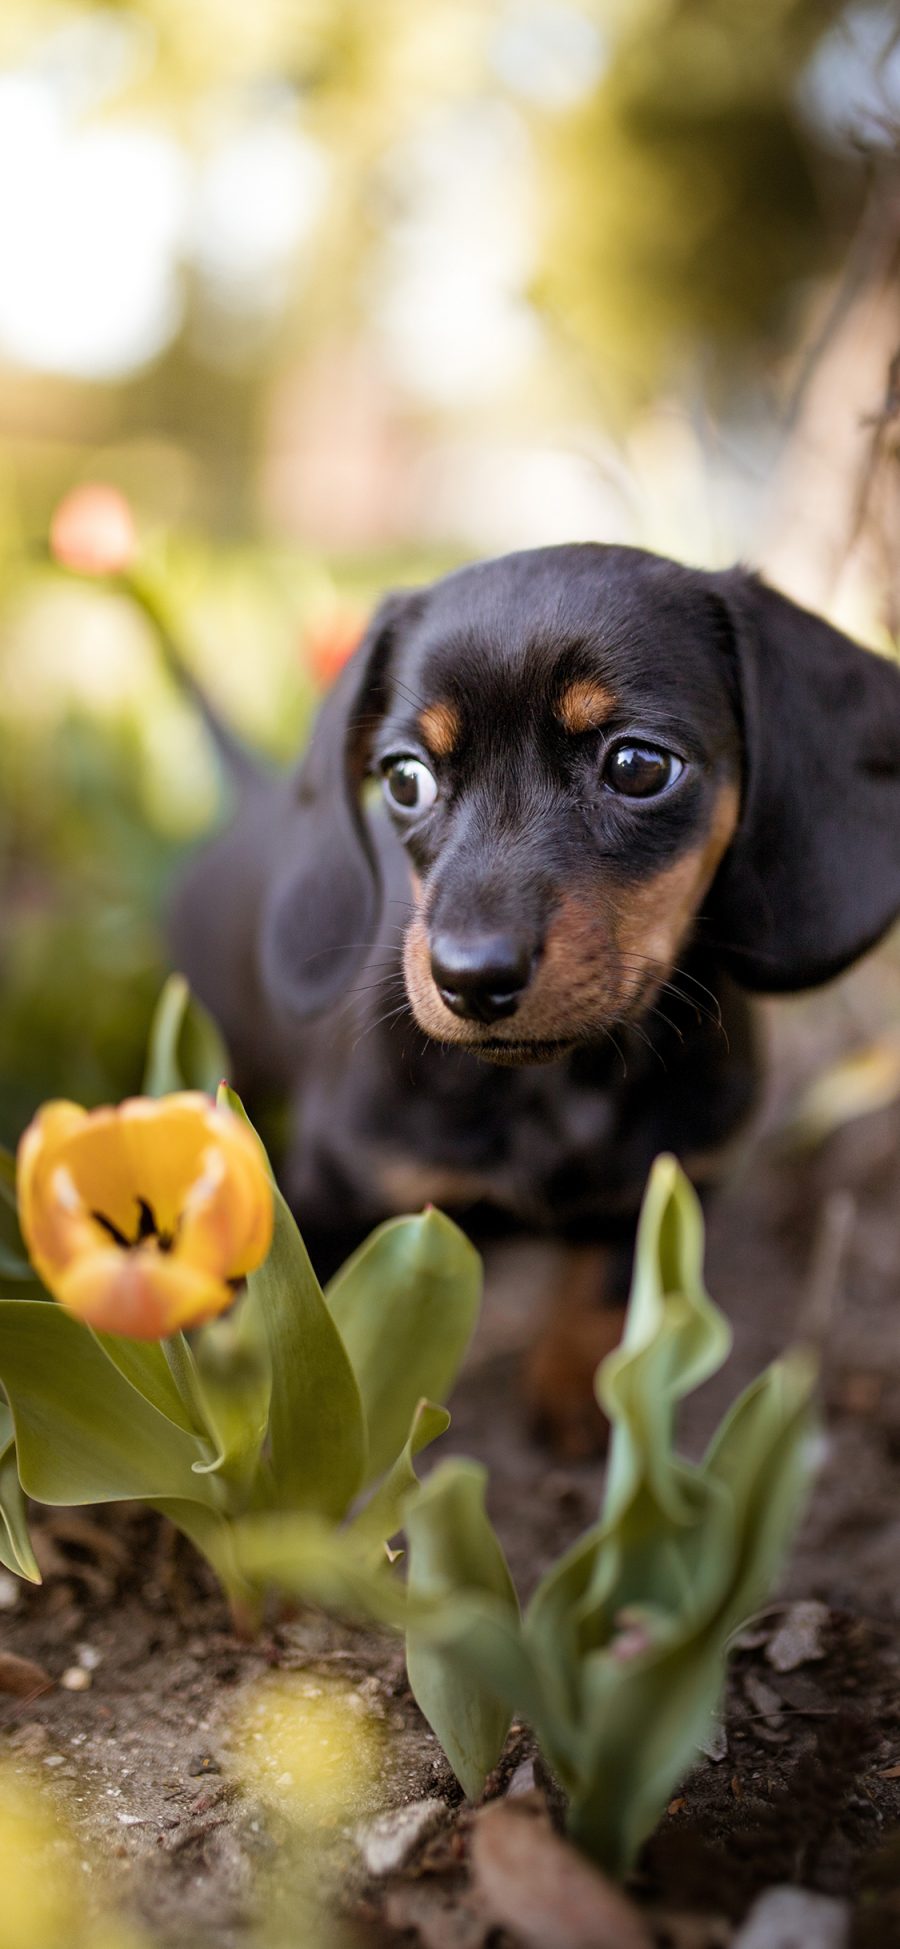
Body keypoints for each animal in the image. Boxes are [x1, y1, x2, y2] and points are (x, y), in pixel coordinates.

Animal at [170, 545, 900, 1450]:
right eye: (404, 777)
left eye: (638, 765)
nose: (470, 976)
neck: (556, 1086)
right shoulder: (332, 1190)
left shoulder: (672, 1174)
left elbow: (608, 1284)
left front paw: (585, 1397)